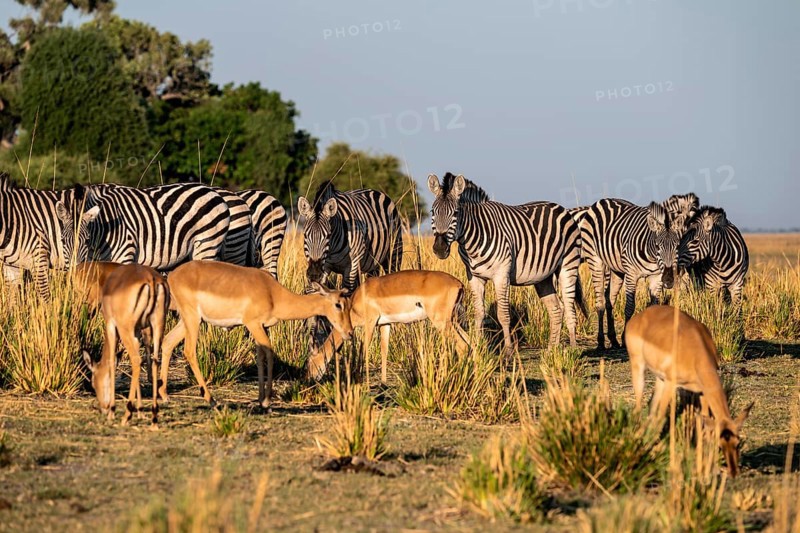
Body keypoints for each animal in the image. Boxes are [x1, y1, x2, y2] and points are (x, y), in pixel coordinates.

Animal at [62, 182, 230, 270]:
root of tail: (212, 191)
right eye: (63, 241)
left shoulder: (125, 255)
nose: (73, 271)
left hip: (208, 244)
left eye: (86, 240)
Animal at [428, 172, 583, 352]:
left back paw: (573, 349)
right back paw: (552, 350)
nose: (440, 248)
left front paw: (508, 350)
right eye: (432, 212)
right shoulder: (474, 277)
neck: (473, 241)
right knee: (556, 310)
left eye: (456, 213)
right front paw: (479, 346)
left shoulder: (502, 275)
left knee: (570, 308)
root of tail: (560, 207)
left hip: (568, 265)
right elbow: (479, 313)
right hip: (543, 277)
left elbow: (503, 315)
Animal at [579, 195, 695, 349]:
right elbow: (629, 307)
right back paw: (601, 342)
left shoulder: (656, 276)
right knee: (600, 302)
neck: (652, 256)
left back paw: (613, 340)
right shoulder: (631, 274)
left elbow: (653, 306)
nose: (669, 280)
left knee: (610, 301)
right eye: (657, 246)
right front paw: (625, 338)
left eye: (677, 246)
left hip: (617, 270)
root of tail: (603, 200)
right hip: (595, 260)